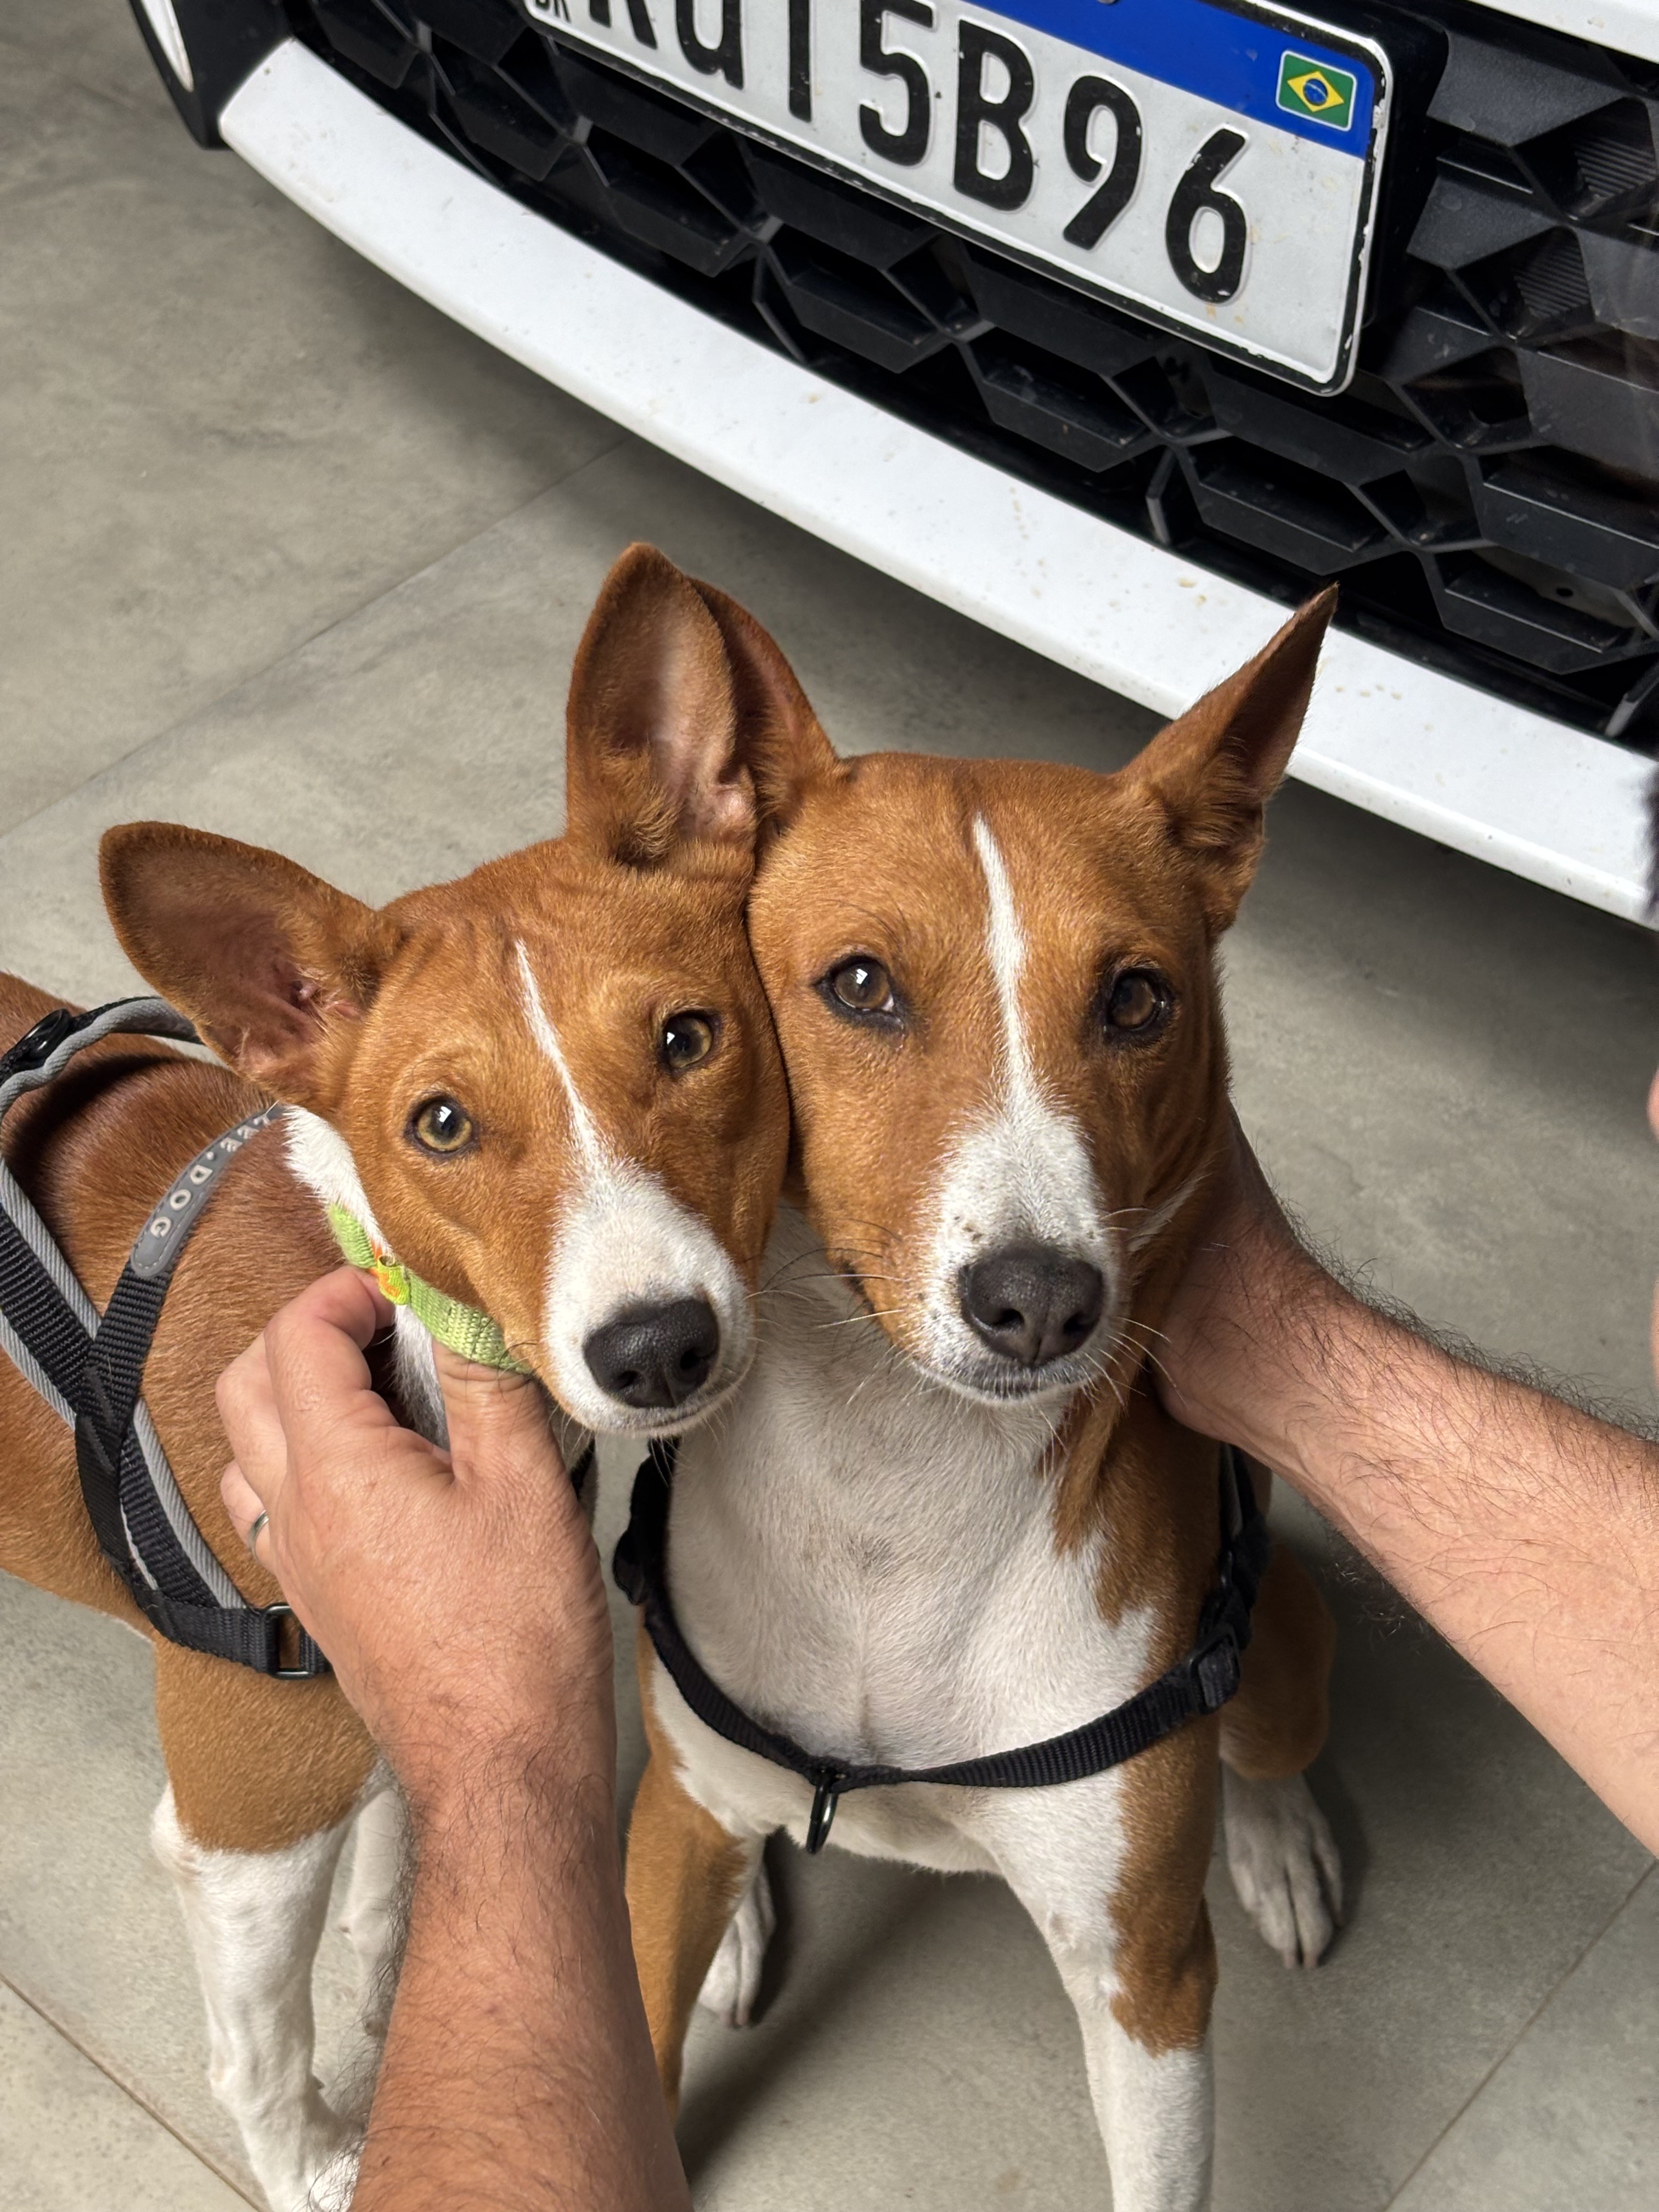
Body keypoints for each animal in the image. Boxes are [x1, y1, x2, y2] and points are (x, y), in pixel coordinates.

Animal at [0, 546, 790, 2211]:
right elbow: (263, 2053)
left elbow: (394, 1880)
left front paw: (385, 1987)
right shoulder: (247, 1826)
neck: (390, 1301)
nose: (657, 1345)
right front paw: (315, 2163)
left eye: (690, 1038)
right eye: (440, 1125)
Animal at [621, 581, 1343, 2211]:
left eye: (1138, 1000)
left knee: (1270, 1743)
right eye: (861, 986)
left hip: (1278, 1635)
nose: (1040, 1298)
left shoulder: (1145, 1983)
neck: (894, 1486)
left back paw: (1276, 1846)